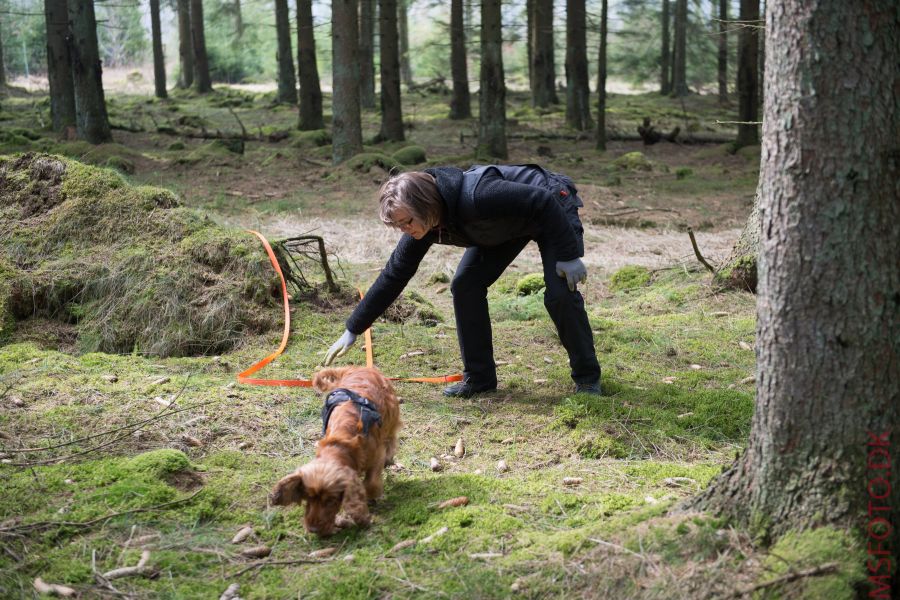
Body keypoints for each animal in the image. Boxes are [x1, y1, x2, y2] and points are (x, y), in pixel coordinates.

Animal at [268, 368, 400, 536]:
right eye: (308, 497)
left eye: (330, 500)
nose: (313, 529)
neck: (340, 445)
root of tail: (357, 368)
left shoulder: (376, 455)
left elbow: (371, 483)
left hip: (391, 413)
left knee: (392, 435)